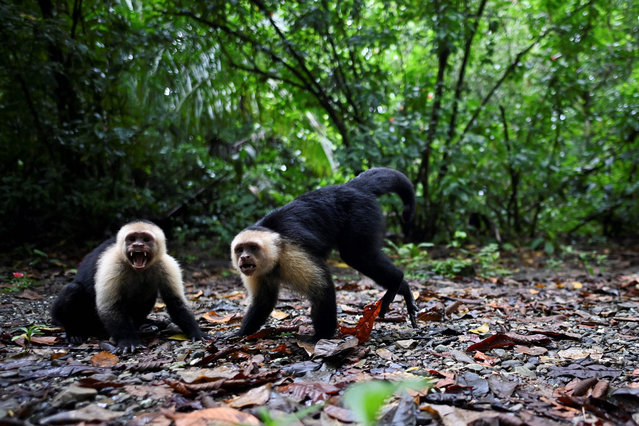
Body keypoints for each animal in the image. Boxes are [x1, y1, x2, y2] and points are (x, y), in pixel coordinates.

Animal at [53, 220, 208, 352]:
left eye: (145, 239)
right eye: (132, 239)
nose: (138, 245)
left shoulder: (167, 265)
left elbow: (175, 301)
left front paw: (196, 332)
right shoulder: (112, 265)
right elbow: (110, 306)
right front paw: (128, 341)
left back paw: (142, 323)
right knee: (73, 289)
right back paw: (73, 332)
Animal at [231, 168, 420, 342]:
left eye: (252, 248)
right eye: (240, 249)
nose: (244, 257)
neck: (275, 255)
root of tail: (350, 187)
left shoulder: (291, 253)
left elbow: (322, 289)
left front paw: (322, 335)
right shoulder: (259, 272)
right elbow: (264, 301)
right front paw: (240, 334)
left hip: (360, 213)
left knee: (356, 255)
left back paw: (396, 280)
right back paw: (403, 287)